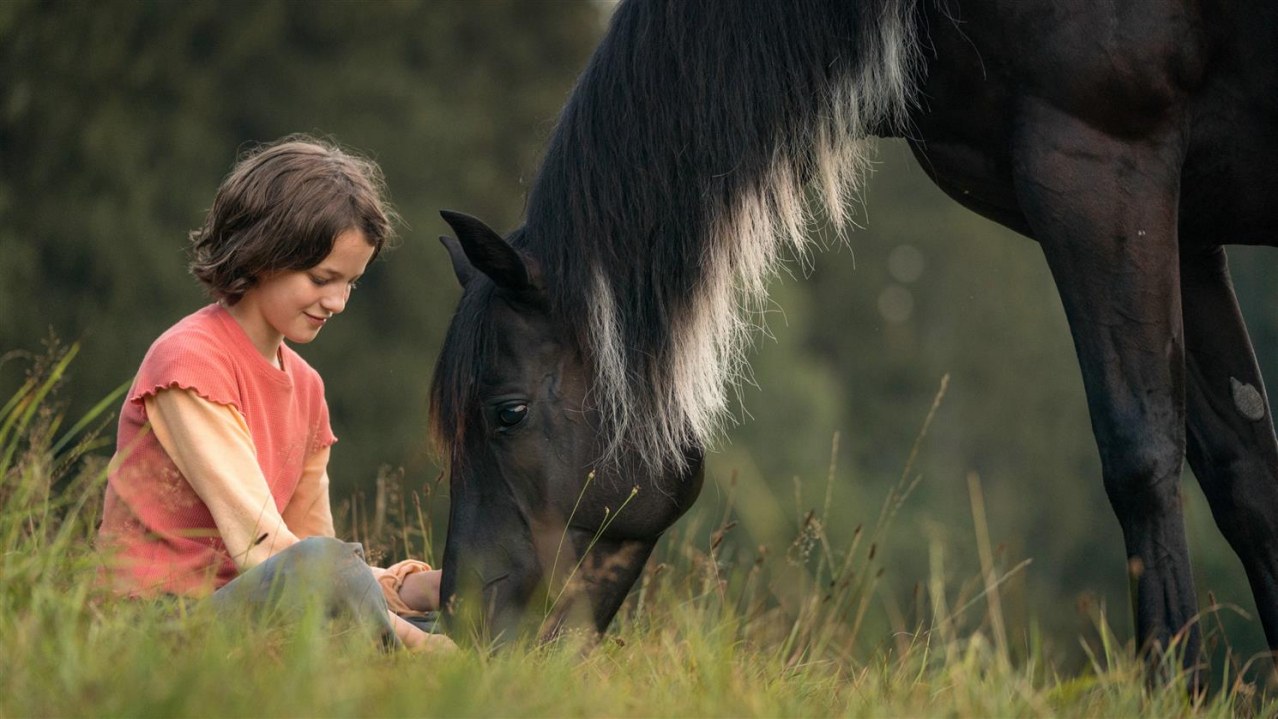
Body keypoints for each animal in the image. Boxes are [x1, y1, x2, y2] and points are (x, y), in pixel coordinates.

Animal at [429, 0, 1278, 669]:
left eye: (508, 412)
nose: (465, 629)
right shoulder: (1186, 228)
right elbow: (1246, 478)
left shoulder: (1101, 162)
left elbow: (1141, 459)